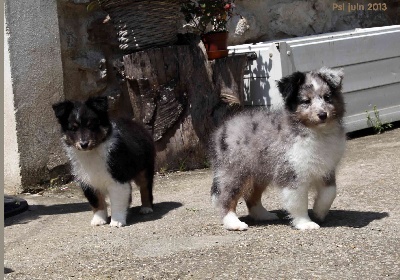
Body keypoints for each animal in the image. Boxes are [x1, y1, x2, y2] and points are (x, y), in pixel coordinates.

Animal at [52, 96, 155, 228]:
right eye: (73, 128)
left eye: (91, 126)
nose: (84, 144)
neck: (91, 152)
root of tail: (135, 123)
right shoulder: (87, 181)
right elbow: (96, 201)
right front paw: (99, 220)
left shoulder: (117, 178)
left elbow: (117, 201)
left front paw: (117, 221)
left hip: (144, 168)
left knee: (145, 187)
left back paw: (146, 208)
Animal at [211, 67, 346, 230]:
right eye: (306, 101)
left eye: (327, 97)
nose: (322, 115)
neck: (316, 132)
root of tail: (224, 127)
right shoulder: (292, 173)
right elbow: (298, 202)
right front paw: (305, 223)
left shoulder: (327, 169)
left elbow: (330, 193)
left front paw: (318, 213)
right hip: (236, 170)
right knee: (226, 196)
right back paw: (233, 223)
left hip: (259, 172)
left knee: (251, 196)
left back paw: (263, 215)